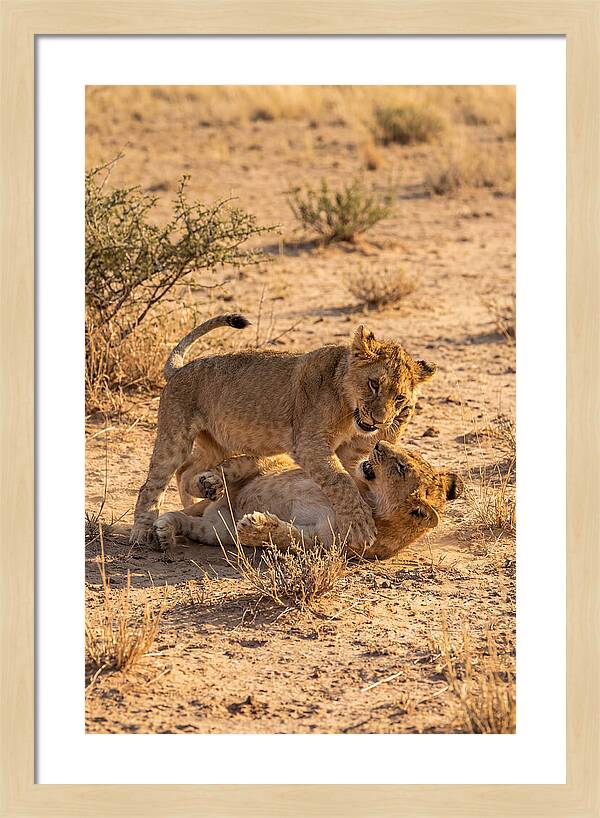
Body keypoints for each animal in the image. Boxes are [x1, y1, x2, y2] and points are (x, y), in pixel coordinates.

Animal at [130, 313, 436, 549]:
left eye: (399, 398)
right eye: (374, 384)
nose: (380, 420)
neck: (349, 409)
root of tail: (180, 369)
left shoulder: (351, 452)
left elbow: (351, 476)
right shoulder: (310, 444)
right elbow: (341, 481)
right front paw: (361, 525)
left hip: (217, 443)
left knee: (187, 471)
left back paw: (204, 493)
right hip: (175, 437)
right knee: (152, 484)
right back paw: (143, 532)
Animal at [153, 441, 463, 560]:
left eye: (401, 467)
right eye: (405, 454)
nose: (377, 444)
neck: (368, 498)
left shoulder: (321, 542)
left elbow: (287, 536)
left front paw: (255, 526)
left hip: (215, 530)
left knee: (186, 520)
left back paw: (165, 532)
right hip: (262, 465)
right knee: (234, 467)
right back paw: (208, 483)